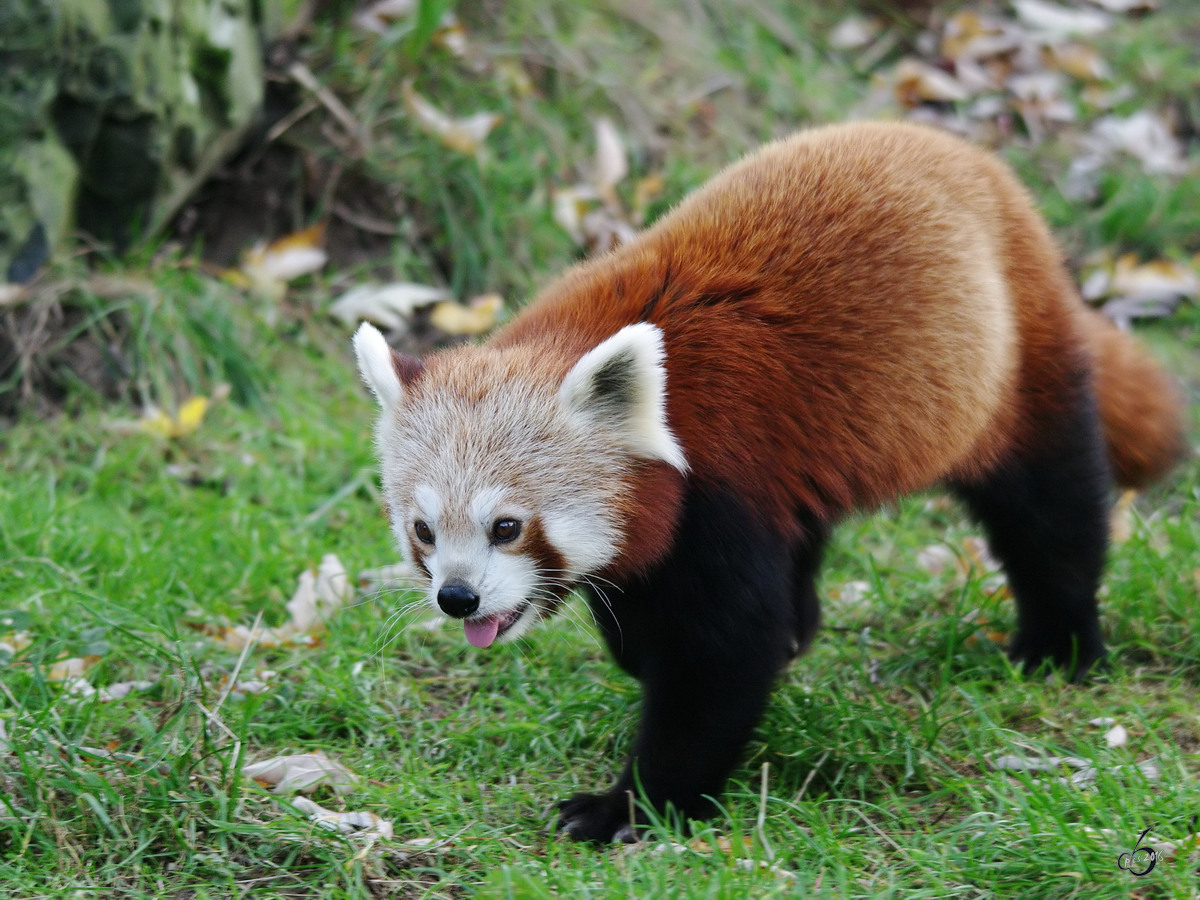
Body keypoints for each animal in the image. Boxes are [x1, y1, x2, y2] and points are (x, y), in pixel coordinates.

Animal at [350, 120, 1185, 844]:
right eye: (424, 531)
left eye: (507, 527)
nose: (457, 597)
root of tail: (965, 156)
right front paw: (641, 659)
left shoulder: (724, 483)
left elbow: (717, 659)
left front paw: (634, 806)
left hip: (1009, 367)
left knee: (1050, 509)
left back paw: (1060, 643)